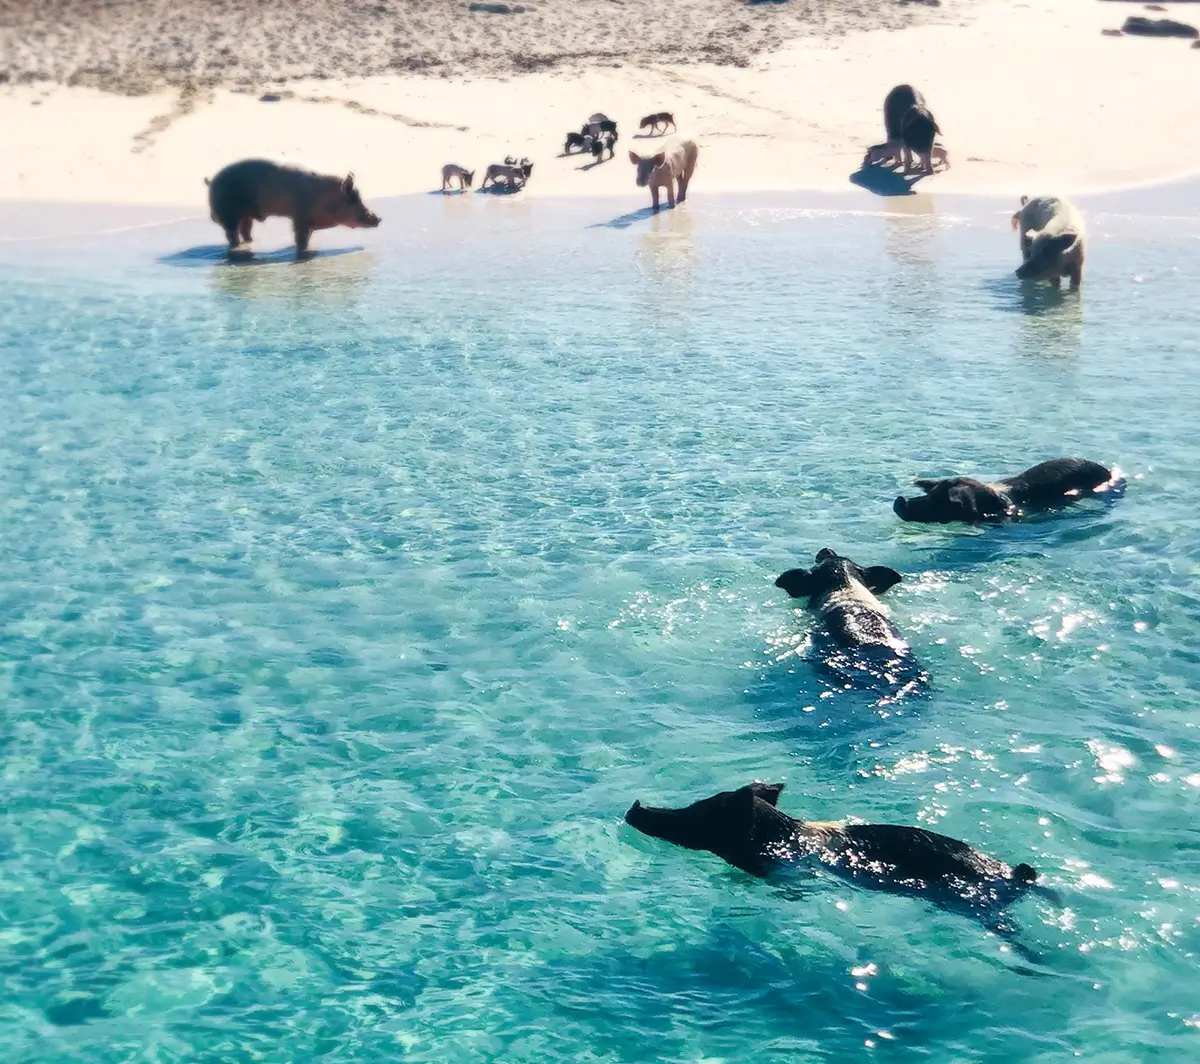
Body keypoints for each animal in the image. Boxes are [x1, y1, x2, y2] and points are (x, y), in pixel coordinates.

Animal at [205, 158, 380, 254]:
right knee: (232, 234)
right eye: (354, 199)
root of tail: (211, 181)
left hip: (246, 215)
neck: (323, 199)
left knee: (245, 230)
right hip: (228, 213)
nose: (378, 218)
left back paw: (252, 242)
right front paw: (303, 251)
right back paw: (238, 248)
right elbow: (300, 238)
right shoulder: (300, 217)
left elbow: (307, 237)